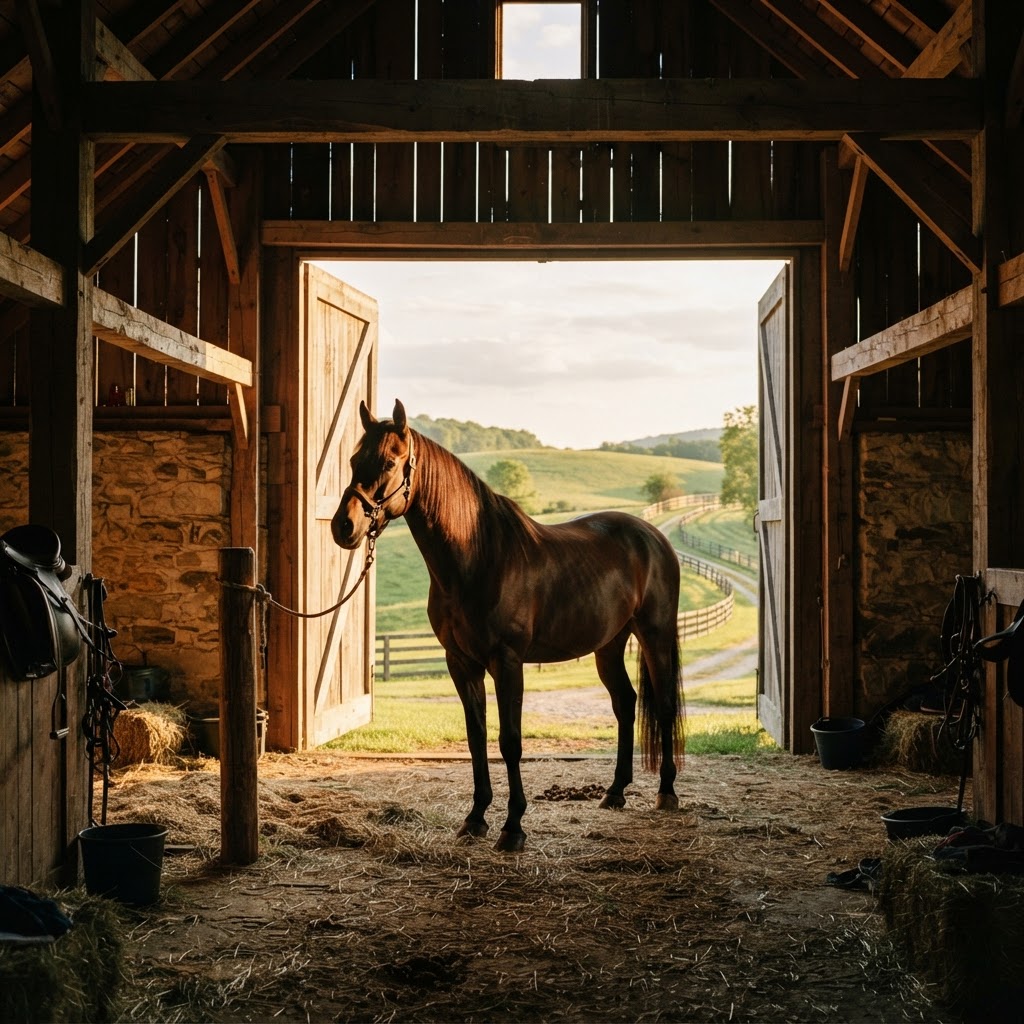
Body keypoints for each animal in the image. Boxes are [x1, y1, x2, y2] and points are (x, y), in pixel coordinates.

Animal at [332, 399, 684, 852]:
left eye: (390, 462)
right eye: (354, 459)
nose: (344, 526)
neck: (477, 556)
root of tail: (654, 537)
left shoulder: (507, 661)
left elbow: (510, 741)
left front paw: (513, 826)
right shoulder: (461, 663)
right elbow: (476, 738)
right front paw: (475, 817)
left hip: (655, 635)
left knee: (664, 705)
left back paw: (667, 792)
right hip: (608, 645)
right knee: (625, 703)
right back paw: (614, 792)